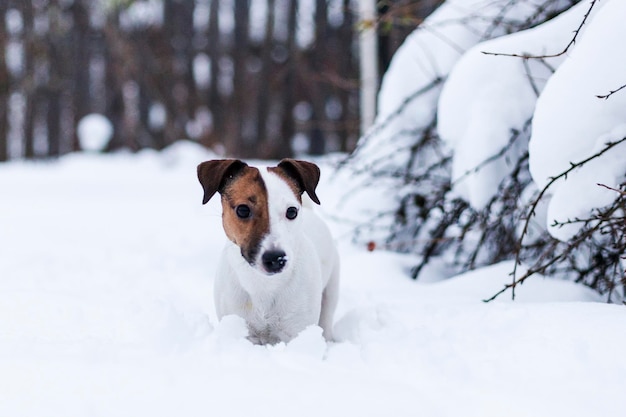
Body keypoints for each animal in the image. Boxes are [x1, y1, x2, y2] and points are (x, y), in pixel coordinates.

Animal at [197, 158, 338, 342]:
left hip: (331, 290)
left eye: (291, 211)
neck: (264, 285)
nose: (276, 258)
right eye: (243, 210)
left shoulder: (296, 331)